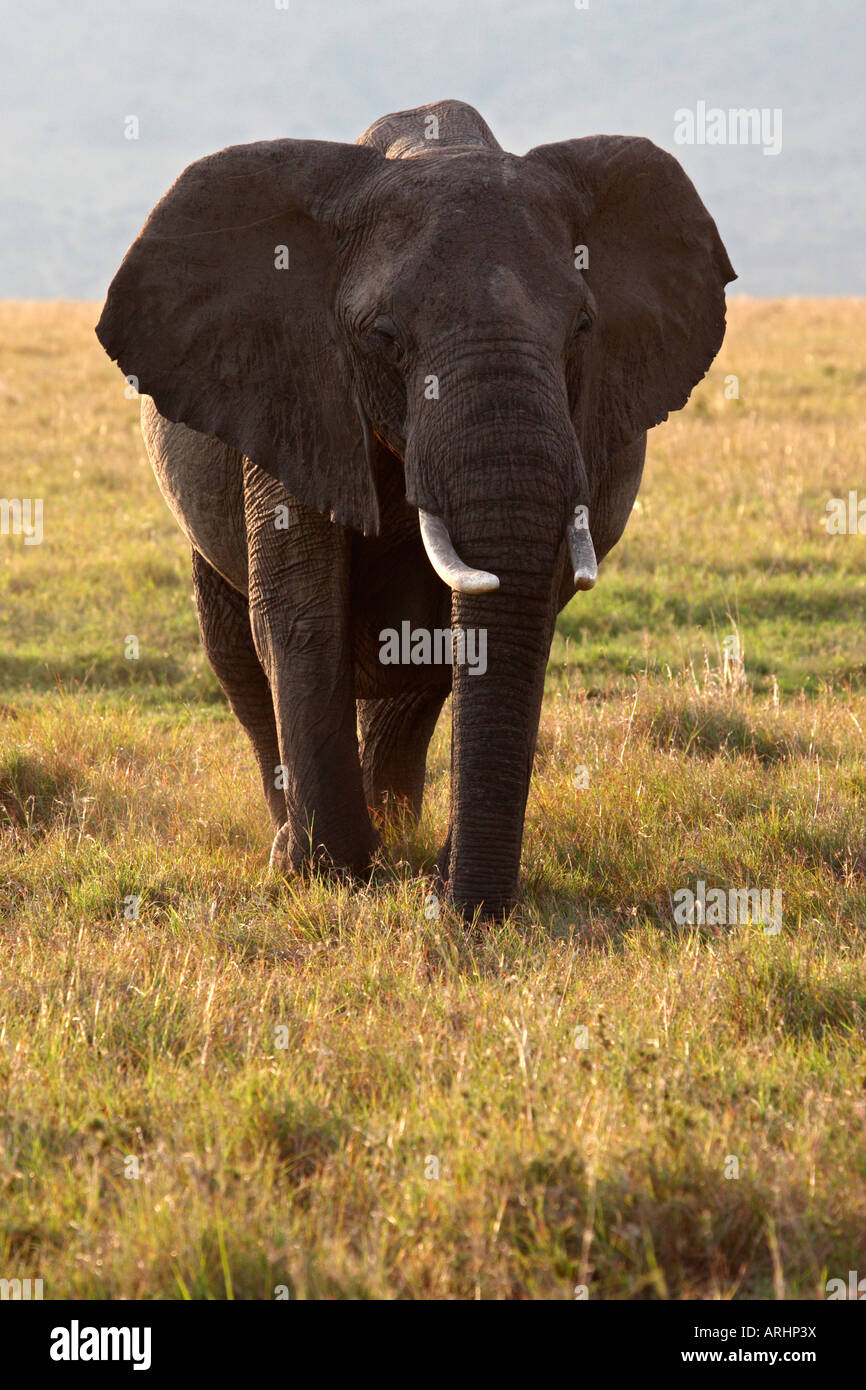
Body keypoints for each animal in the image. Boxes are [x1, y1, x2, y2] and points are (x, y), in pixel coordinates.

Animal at [94, 100, 733, 922]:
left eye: (585, 328)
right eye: (383, 337)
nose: (462, 912)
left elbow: (497, 628)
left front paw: (411, 875)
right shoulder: (293, 389)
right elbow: (302, 613)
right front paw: (331, 875)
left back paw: (395, 829)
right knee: (237, 654)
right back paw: (304, 844)